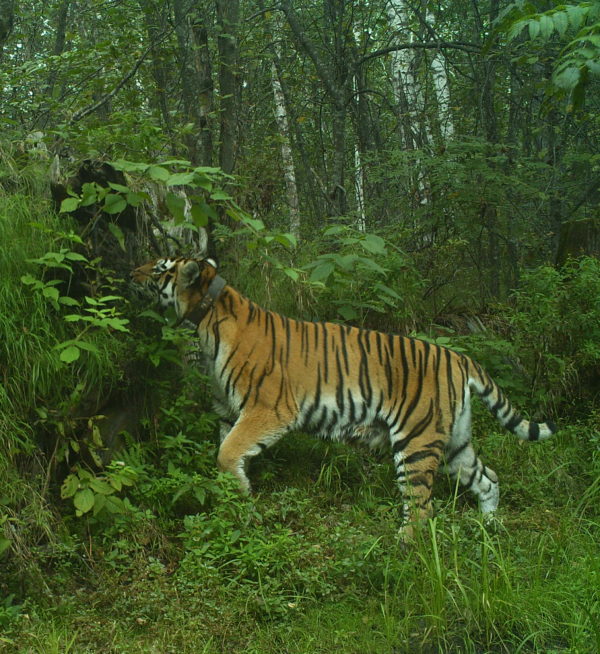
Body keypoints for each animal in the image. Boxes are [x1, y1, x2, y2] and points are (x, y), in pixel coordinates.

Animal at [132, 256, 556, 540]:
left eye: (160, 269)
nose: (130, 273)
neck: (205, 321)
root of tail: (458, 357)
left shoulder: (268, 409)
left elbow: (227, 452)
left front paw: (242, 502)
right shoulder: (227, 412)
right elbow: (224, 452)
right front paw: (233, 500)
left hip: (416, 441)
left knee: (421, 507)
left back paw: (403, 548)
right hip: (453, 441)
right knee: (488, 478)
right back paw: (490, 526)